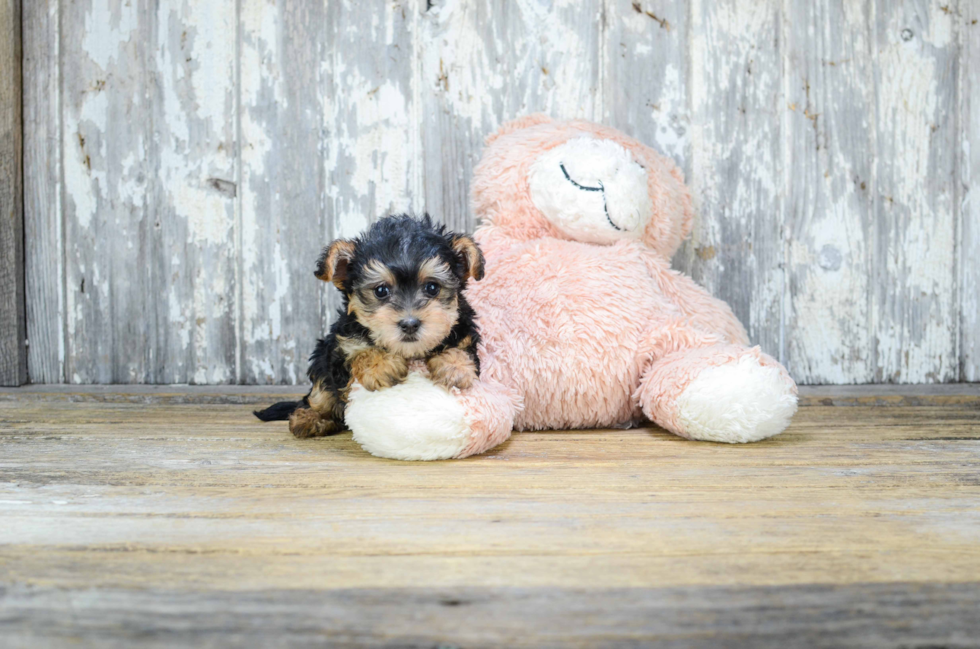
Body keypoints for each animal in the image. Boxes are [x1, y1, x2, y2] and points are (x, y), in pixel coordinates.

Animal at [253, 215, 482, 438]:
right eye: (381, 290)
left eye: (432, 287)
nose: (409, 324)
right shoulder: (342, 345)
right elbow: (360, 352)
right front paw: (381, 365)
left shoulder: (465, 330)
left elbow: (461, 347)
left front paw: (454, 366)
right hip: (320, 358)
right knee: (320, 392)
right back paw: (312, 418)